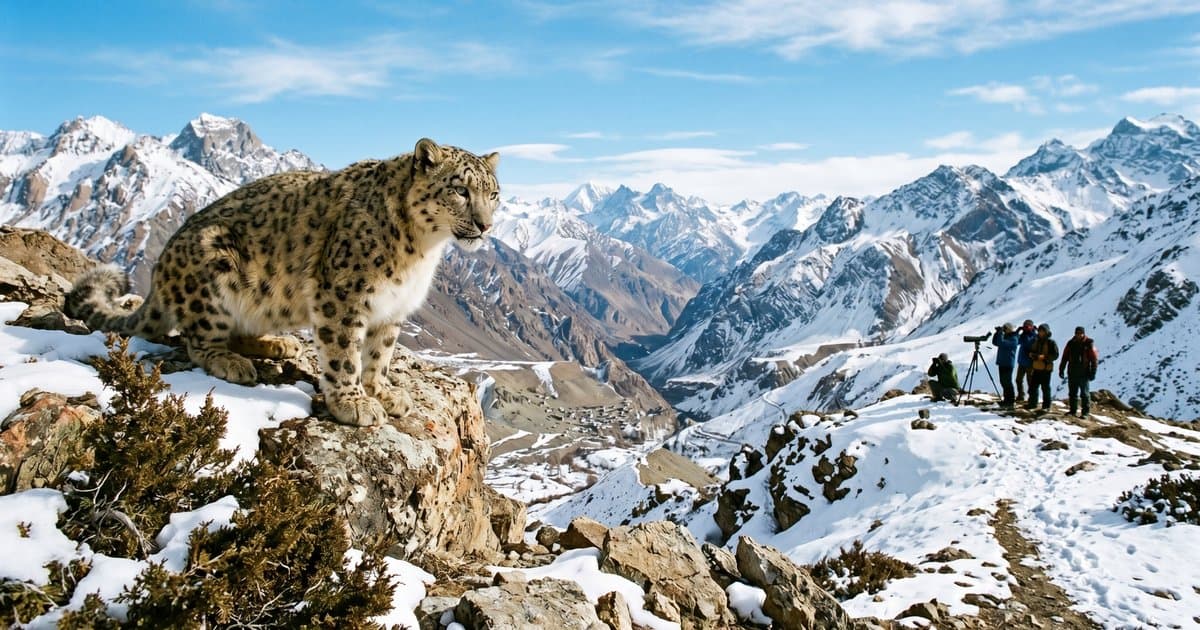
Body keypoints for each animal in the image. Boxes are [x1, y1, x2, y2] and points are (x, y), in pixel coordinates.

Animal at [65, 138, 500, 427]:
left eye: (493, 194)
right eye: (460, 190)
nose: (485, 225)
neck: (422, 251)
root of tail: (159, 274)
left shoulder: (392, 308)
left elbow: (379, 354)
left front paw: (383, 392)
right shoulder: (343, 295)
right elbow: (344, 352)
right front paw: (353, 403)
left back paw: (278, 344)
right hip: (213, 268)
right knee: (198, 340)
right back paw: (232, 361)